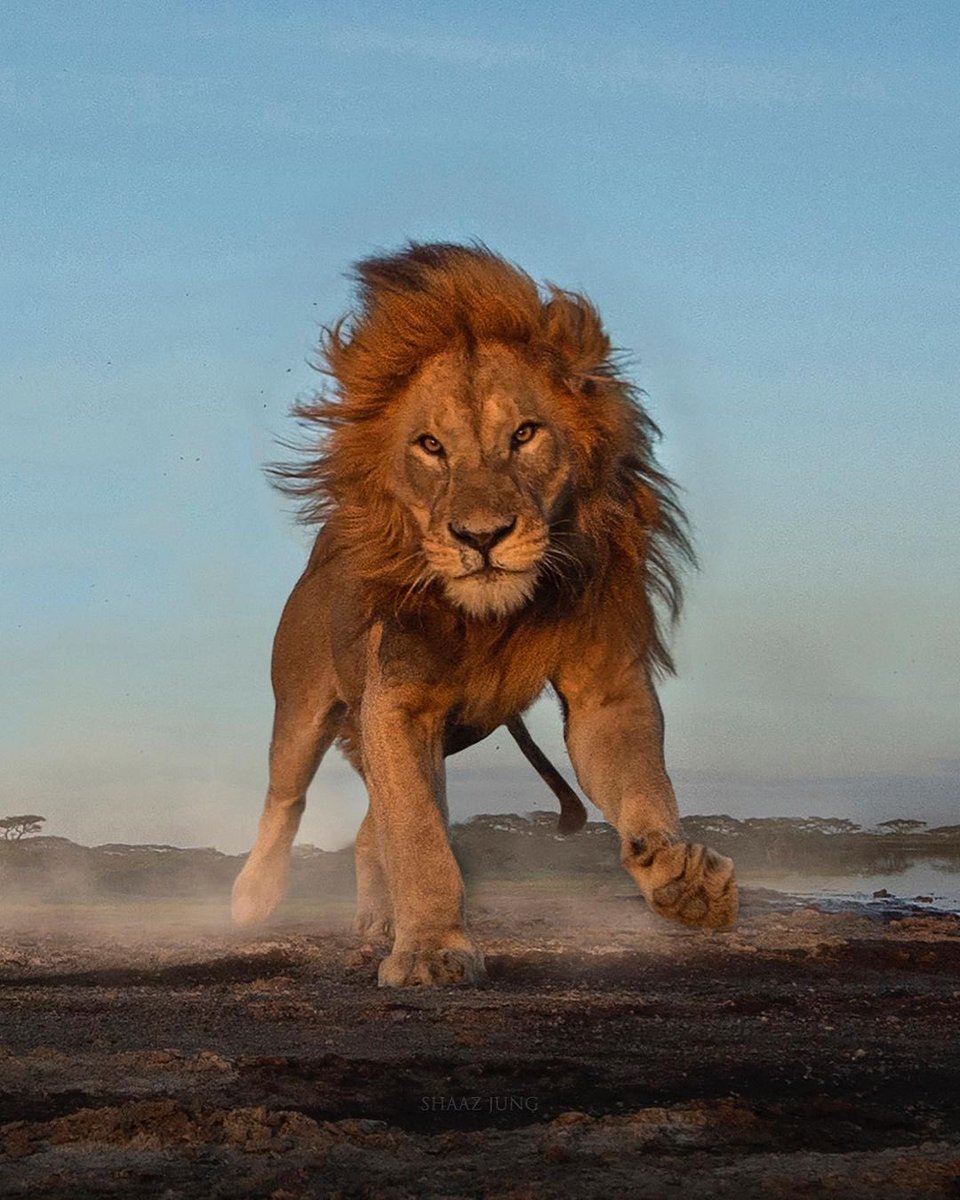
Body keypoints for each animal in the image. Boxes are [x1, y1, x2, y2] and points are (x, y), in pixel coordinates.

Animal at [232, 242, 738, 986]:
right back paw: (253, 897)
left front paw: (681, 874)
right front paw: (430, 949)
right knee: (285, 797)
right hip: (302, 705)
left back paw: (378, 921)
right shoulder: (397, 700)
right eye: (430, 446)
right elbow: (417, 837)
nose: (481, 536)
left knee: (369, 826)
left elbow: (644, 788)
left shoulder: (606, 689)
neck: (494, 621)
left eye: (524, 434)